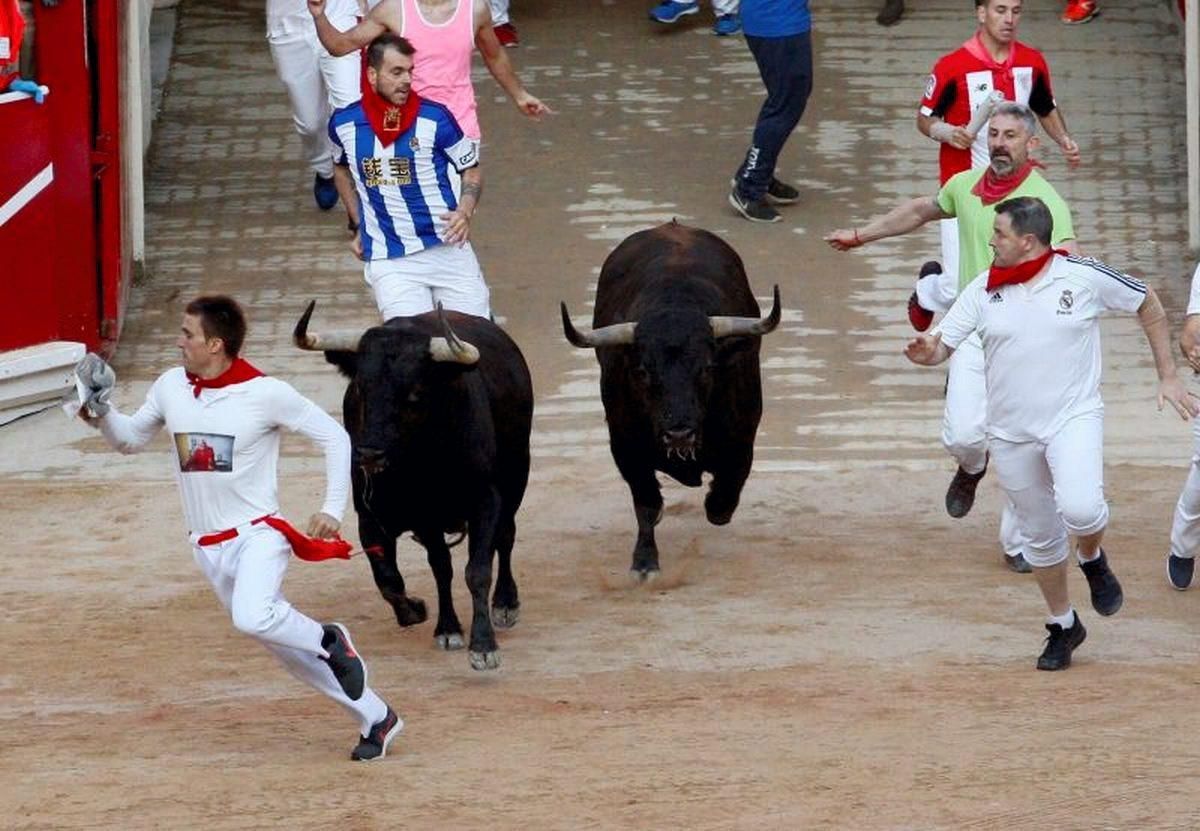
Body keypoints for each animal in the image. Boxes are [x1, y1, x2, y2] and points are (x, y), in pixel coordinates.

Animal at [292, 301, 532, 672]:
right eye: (360, 388)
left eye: (415, 395)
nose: (369, 453)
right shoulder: (392, 516)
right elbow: (400, 577)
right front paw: (431, 618)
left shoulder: (486, 499)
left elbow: (478, 570)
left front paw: (483, 644)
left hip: (517, 474)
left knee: (505, 538)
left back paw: (506, 602)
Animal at [559, 224, 782, 581]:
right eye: (642, 370)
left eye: (707, 368)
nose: (679, 433)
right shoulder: (625, 447)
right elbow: (648, 503)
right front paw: (645, 561)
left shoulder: (742, 439)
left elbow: (723, 499)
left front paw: (714, 505)